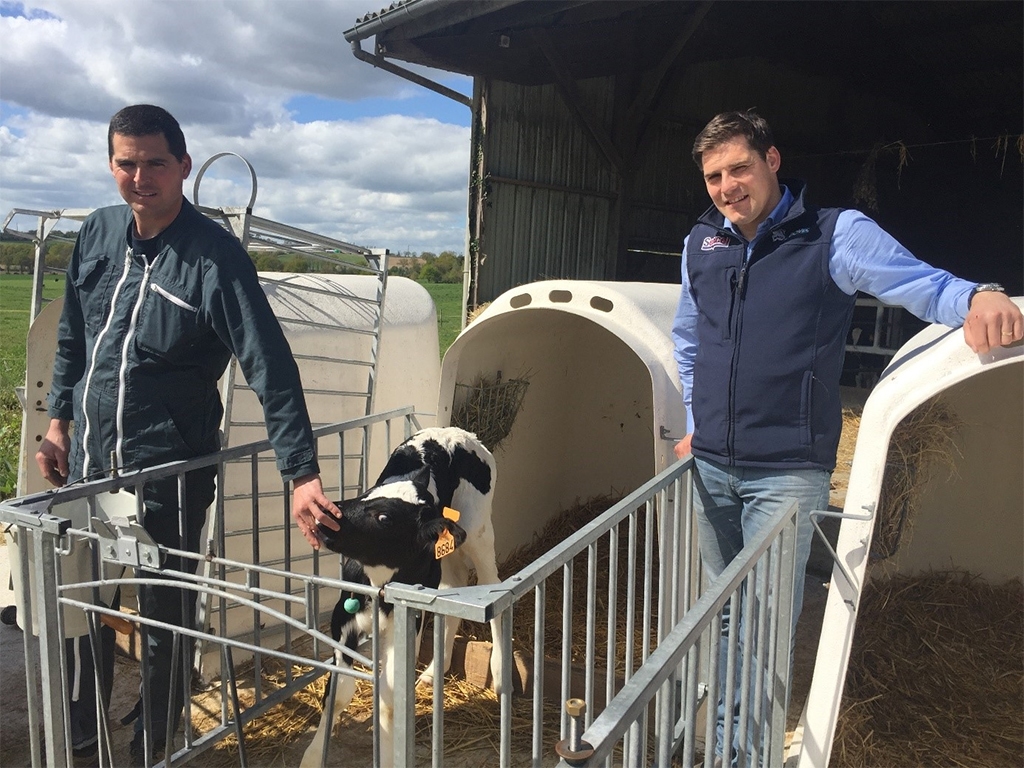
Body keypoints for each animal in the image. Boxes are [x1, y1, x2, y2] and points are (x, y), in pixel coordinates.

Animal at [299, 430, 501, 765]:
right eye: (366, 494)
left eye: (384, 517)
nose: (326, 510)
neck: (379, 584)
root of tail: (461, 433)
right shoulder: (342, 618)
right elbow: (338, 691)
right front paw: (313, 757)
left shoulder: (407, 624)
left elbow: (390, 697)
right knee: (453, 585)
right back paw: (433, 673)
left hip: (479, 532)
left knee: (492, 583)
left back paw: (499, 673)